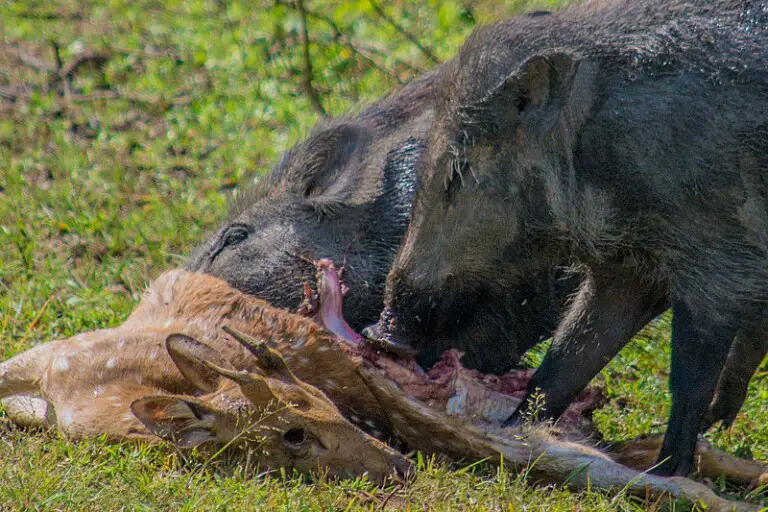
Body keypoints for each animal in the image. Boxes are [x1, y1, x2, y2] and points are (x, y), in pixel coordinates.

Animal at [369, 0, 768, 477]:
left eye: (459, 170)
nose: (380, 333)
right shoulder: (626, 274)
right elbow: (565, 361)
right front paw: (514, 432)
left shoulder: (716, 265)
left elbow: (688, 385)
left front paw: (667, 473)